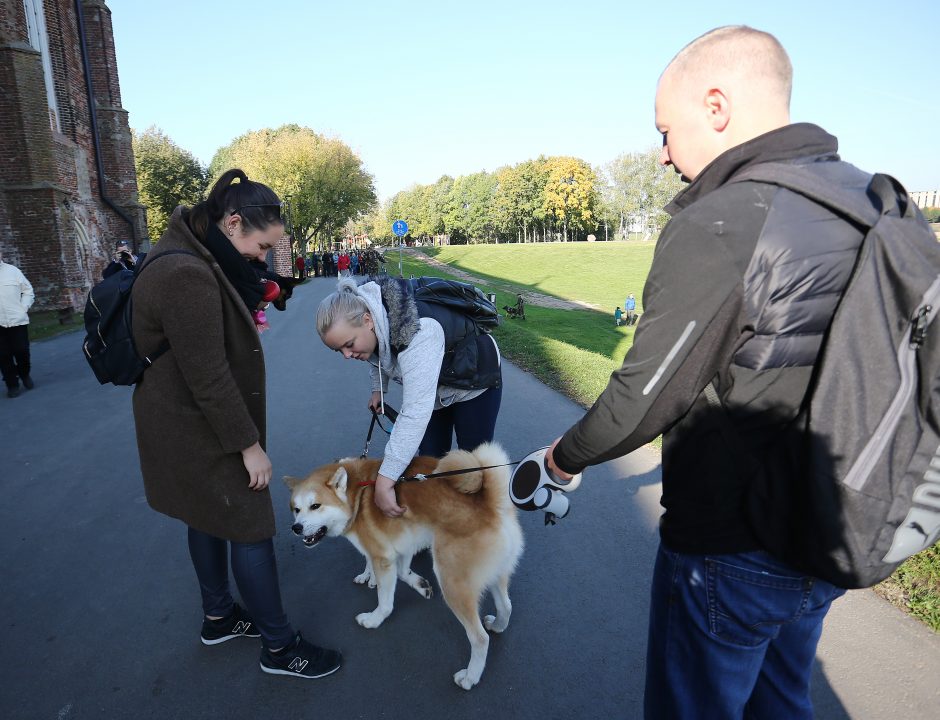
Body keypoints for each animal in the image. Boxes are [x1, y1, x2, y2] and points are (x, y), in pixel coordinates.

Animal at [282, 442, 524, 688]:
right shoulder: (403, 541)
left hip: (452, 581)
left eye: (315, 506)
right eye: (296, 509)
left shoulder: (383, 557)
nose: (296, 528)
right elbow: (400, 570)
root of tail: (492, 505)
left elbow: (385, 601)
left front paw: (374, 618)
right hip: (496, 573)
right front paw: (399, 581)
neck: (355, 494)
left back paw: (470, 677)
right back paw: (498, 625)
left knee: (480, 638)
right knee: (506, 605)